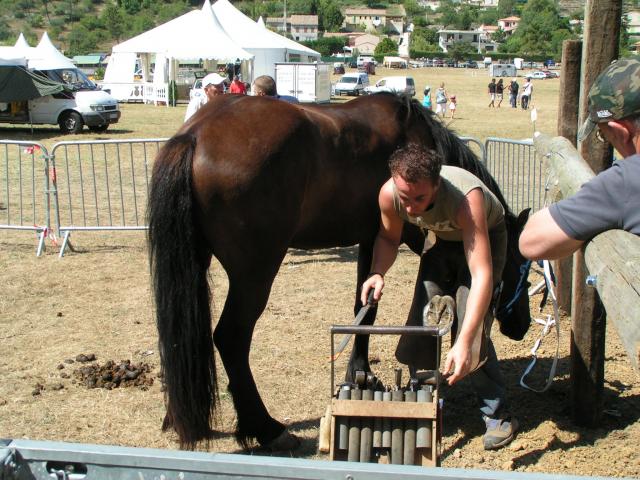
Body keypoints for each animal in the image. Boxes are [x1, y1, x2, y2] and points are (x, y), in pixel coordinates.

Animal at [148, 93, 532, 450]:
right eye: (522, 269)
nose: (520, 327)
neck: (416, 138)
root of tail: (195, 134)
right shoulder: (390, 235)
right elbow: (371, 309)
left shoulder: (370, 239)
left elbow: (364, 306)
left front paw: (359, 373)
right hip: (254, 275)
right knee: (230, 338)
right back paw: (266, 428)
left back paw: (178, 416)